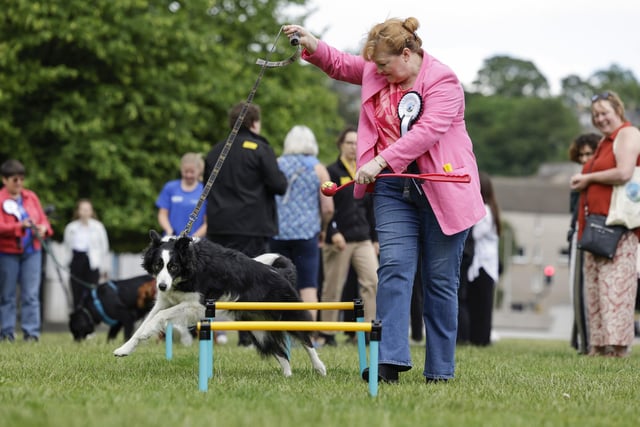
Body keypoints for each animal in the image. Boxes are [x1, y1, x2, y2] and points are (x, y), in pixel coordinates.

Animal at [111, 231, 324, 378]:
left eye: (173, 266)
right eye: (158, 265)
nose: (161, 286)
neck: (190, 263)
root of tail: (279, 273)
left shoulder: (197, 304)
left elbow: (160, 316)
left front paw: (144, 334)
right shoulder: (165, 300)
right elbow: (145, 322)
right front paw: (124, 349)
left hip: (287, 312)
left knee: (306, 340)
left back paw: (319, 368)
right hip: (258, 328)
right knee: (280, 352)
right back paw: (287, 376)